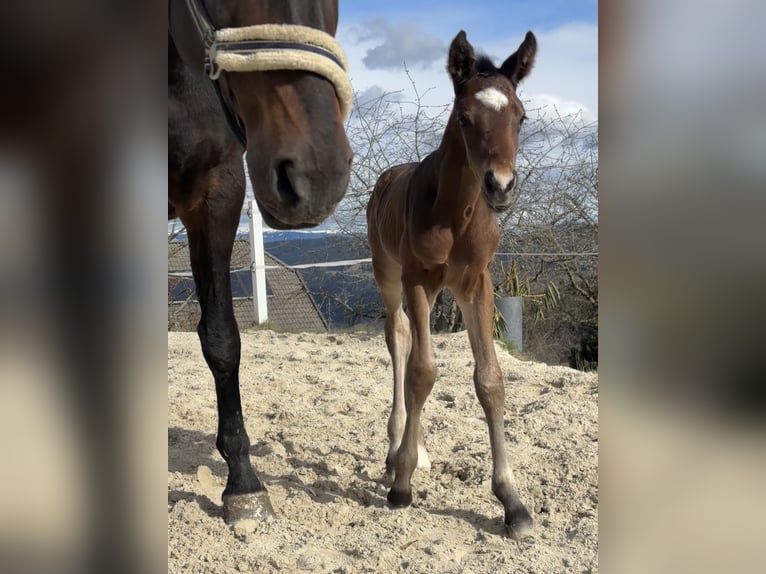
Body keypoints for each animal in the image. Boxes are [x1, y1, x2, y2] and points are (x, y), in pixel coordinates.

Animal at [366, 30, 537, 539]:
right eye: (465, 118)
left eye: (520, 116)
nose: (501, 186)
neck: (456, 212)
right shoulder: (417, 279)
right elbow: (423, 372)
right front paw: (401, 485)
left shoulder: (475, 282)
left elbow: (491, 380)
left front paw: (512, 502)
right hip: (388, 274)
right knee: (398, 336)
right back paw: (397, 451)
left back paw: (415, 449)